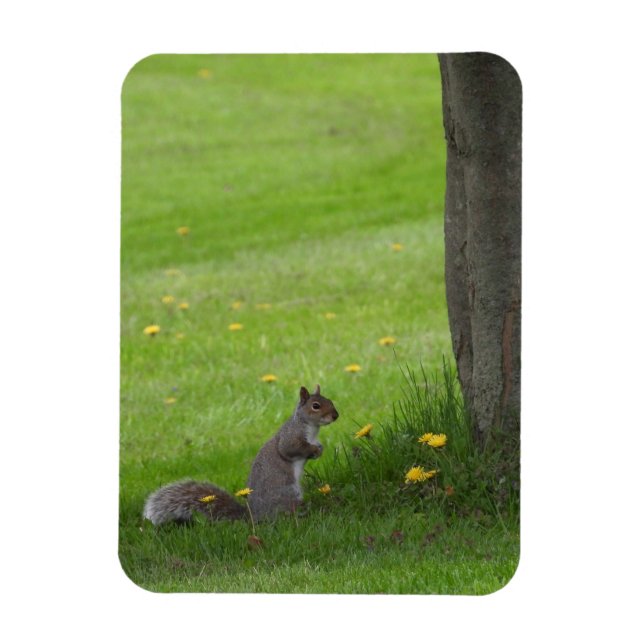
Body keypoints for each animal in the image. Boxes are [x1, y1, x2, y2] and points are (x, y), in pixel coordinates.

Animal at [143, 384, 339, 525]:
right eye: (316, 406)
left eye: (330, 400)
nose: (335, 416)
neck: (312, 429)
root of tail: (254, 516)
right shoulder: (290, 438)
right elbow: (290, 449)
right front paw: (313, 450)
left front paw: (319, 449)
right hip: (288, 492)